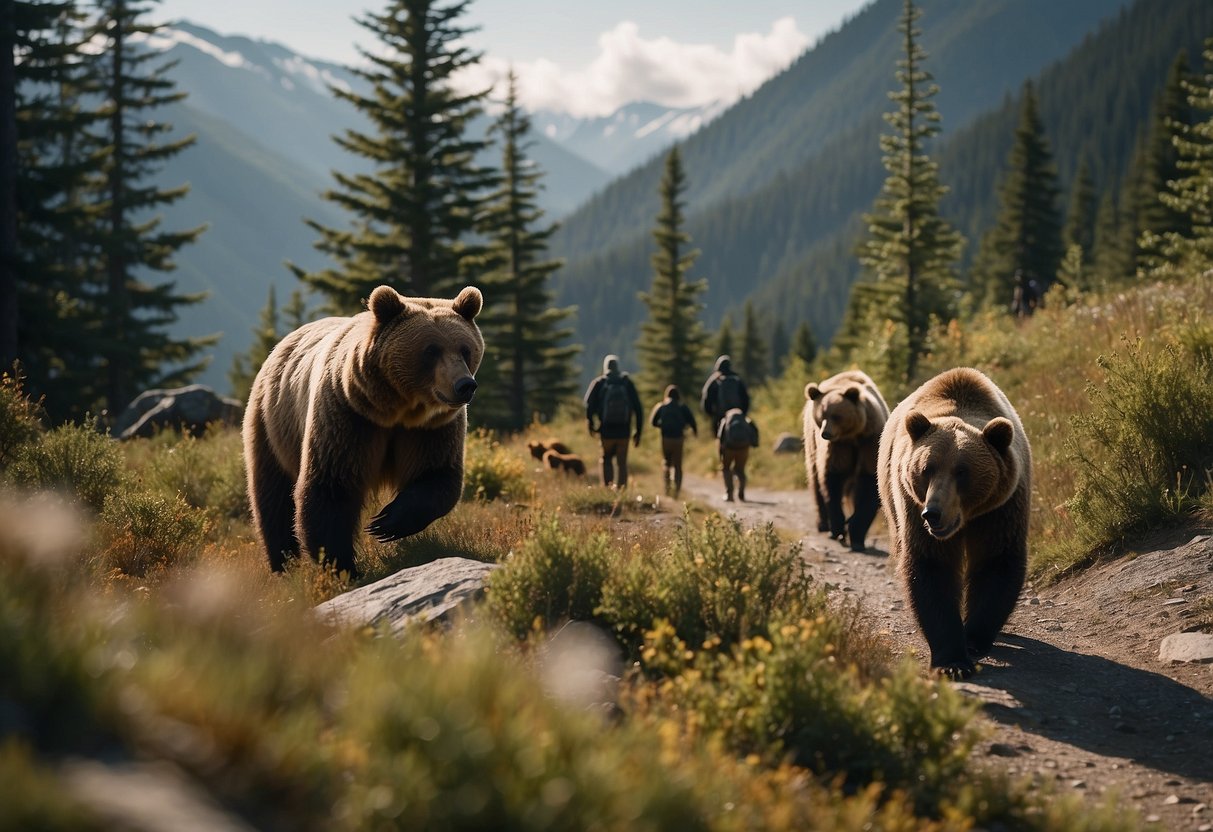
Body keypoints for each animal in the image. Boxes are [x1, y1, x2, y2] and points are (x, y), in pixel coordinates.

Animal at [241, 283, 482, 577]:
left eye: (465, 349)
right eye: (431, 350)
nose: (464, 385)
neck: (399, 410)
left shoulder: (431, 429)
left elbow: (437, 476)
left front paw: (386, 522)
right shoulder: (349, 416)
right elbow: (331, 486)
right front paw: (343, 567)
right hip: (271, 423)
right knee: (272, 496)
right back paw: (284, 564)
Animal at [805, 371, 892, 553]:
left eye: (836, 416)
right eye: (821, 416)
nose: (825, 433)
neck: (853, 435)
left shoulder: (870, 442)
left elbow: (869, 485)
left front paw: (857, 535)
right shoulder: (838, 447)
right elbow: (832, 480)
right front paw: (838, 529)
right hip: (812, 444)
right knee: (815, 480)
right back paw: (823, 524)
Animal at [878, 368, 1028, 679]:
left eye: (962, 471)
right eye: (926, 468)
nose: (933, 513)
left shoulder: (1002, 508)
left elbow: (997, 560)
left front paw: (973, 638)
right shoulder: (912, 506)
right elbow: (932, 566)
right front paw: (953, 662)